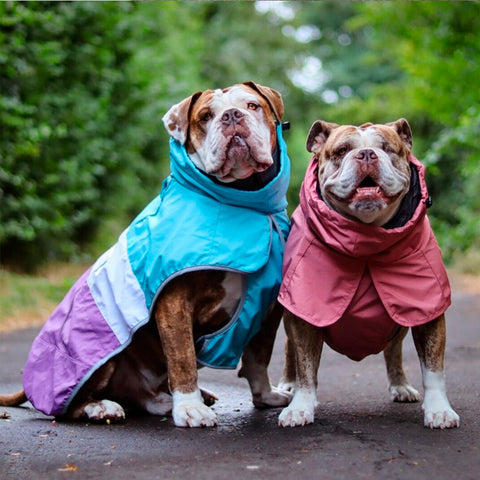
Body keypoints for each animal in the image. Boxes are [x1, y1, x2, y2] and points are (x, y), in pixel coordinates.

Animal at [0, 81, 292, 428]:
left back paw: (170, 400)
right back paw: (101, 407)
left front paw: (265, 396)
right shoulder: (174, 300)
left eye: (252, 106)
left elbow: (259, 356)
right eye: (206, 116)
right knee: (70, 405)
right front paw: (190, 409)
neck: (244, 200)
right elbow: (182, 358)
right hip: (102, 359)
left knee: (146, 396)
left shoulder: (268, 307)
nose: (232, 116)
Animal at [276, 118, 460, 430]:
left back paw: (400, 385)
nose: (366, 155)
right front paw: (300, 405)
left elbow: (433, 368)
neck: (366, 240)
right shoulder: (304, 312)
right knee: (292, 353)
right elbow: (305, 365)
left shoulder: (427, 309)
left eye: (387, 148)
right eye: (341, 151)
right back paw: (289, 386)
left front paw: (439, 409)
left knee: (394, 350)